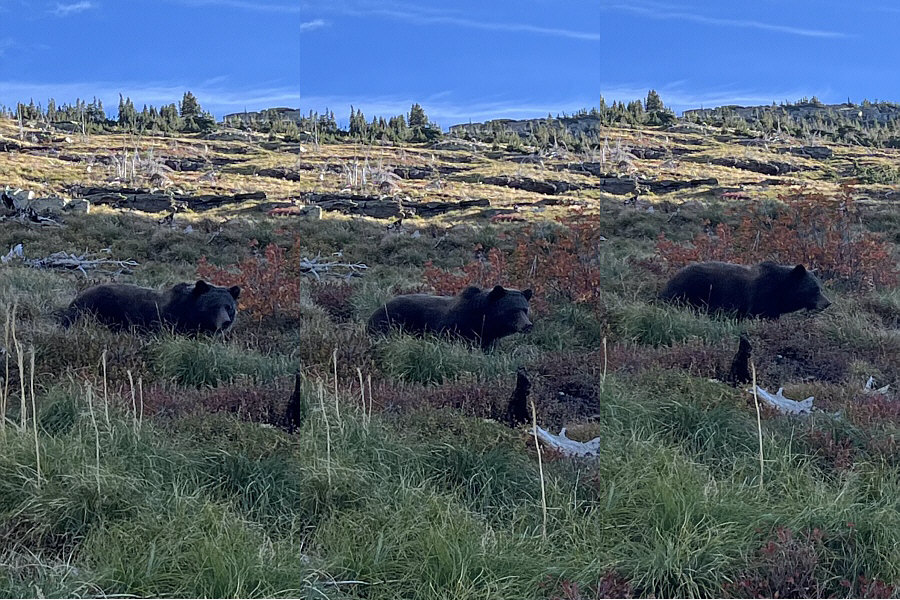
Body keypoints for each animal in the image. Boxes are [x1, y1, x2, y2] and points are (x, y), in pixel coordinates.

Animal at [367, 285, 534, 350]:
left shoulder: (488, 339)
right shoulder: (453, 328)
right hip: (389, 322)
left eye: (525, 309)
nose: (528, 325)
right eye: (512, 310)